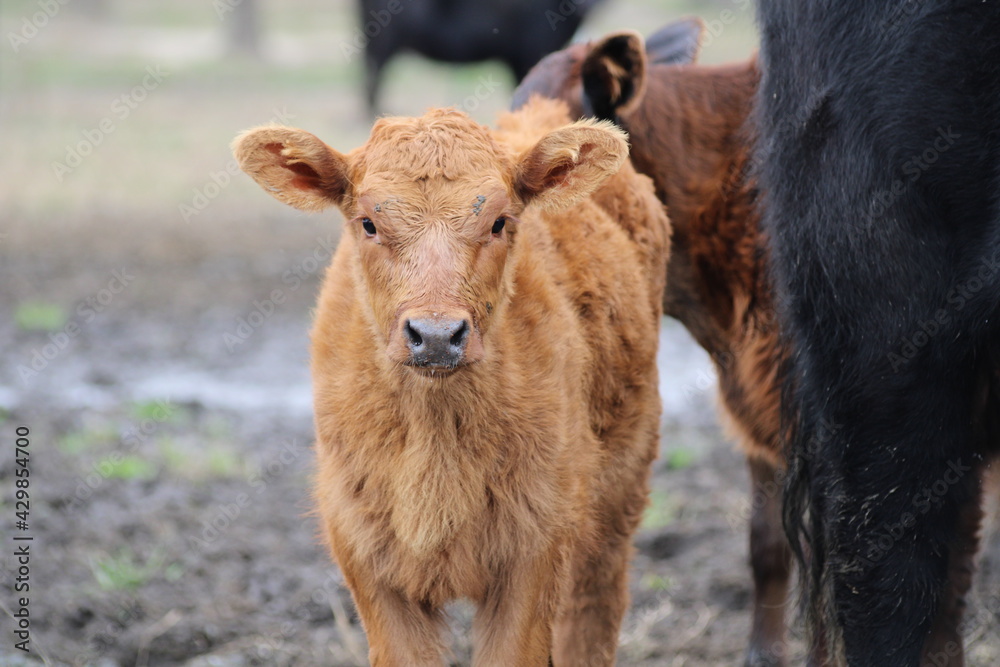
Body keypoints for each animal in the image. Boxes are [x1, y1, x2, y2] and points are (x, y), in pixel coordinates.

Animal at [232, 96, 672, 664]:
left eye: (500, 221)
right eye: (368, 223)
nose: (437, 335)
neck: (435, 434)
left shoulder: (536, 550)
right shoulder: (368, 558)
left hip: (618, 497)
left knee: (592, 612)